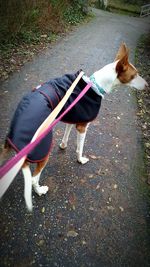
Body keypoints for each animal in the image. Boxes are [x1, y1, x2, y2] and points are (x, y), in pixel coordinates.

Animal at [0, 43, 148, 211]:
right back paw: (40, 191)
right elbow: (79, 148)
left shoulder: (72, 118)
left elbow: (66, 135)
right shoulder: (82, 127)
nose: (147, 85)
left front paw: (63, 146)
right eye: (134, 75)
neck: (94, 85)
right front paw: (80, 160)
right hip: (43, 151)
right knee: (33, 179)